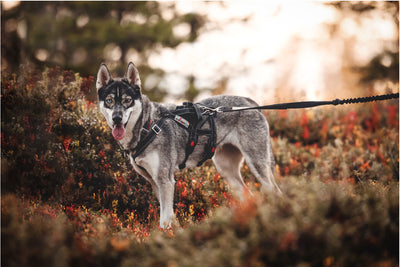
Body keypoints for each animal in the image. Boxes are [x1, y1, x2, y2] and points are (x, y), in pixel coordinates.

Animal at [97, 62, 282, 228]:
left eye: (127, 100)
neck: (147, 126)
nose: (117, 118)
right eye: (109, 101)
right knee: (250, 197)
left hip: (257, 164)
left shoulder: (165, 181)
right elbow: (170, 217)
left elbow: (164, 221)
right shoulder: (155, 182)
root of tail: (250, 102)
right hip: (226, 170)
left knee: (275, 192)